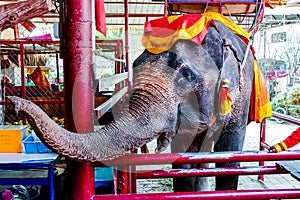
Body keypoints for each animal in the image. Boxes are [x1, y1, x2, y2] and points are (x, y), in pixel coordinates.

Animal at [5, 13, 262, 191]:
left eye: (187, 74)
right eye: (135, 66)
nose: (14, 103)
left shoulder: (241, 94)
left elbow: (230, 159)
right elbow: (182, 162)